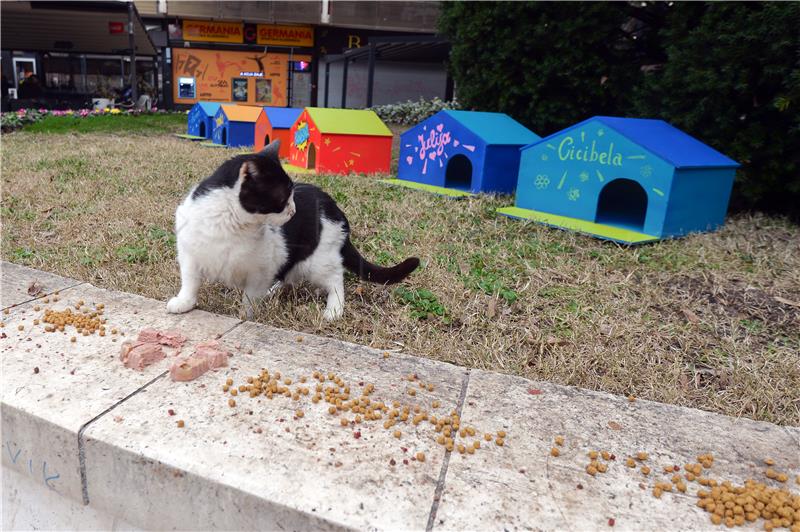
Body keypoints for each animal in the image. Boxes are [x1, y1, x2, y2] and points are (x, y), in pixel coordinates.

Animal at [166, 139, 422, 320]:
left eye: (291, 195)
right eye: (283, 198)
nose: (293, 210)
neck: (229, 225)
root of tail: (332, 204)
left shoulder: (260, 269)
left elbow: (249, 297)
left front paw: (246, 316)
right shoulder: (189, 256)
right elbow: (190, 283)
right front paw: (184, 302)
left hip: (318, 260)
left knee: (335, 279)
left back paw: (334, 309)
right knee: (288, 273)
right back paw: (274, 291)